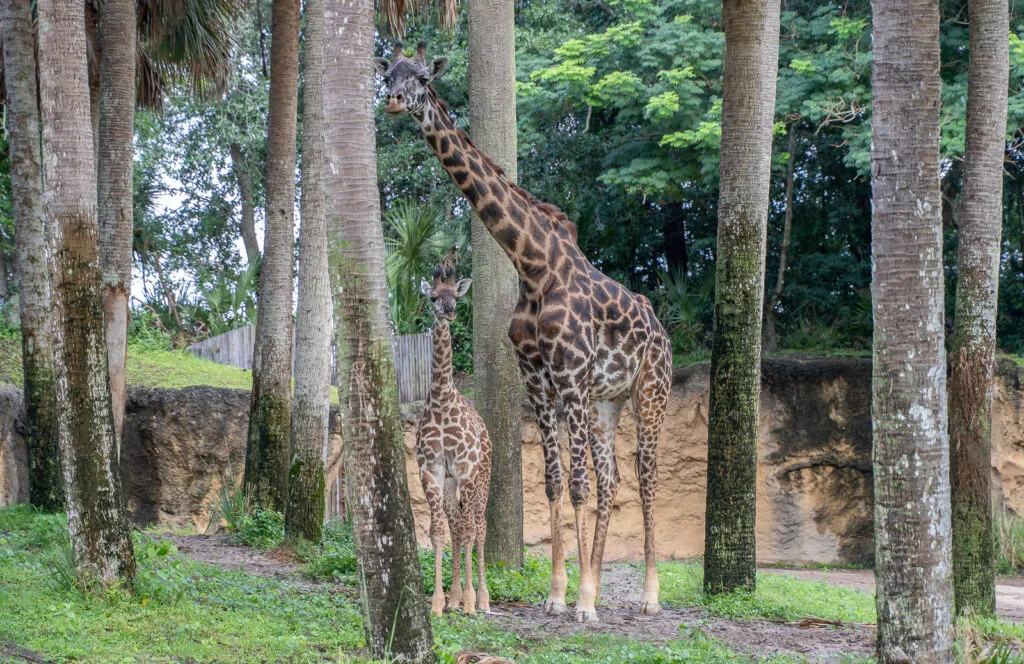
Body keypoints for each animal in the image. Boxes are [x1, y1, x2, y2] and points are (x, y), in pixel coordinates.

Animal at [376, 42, 673, 623]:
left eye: (422, 77)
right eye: (389, 75)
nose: (395, 101)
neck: (533, 264)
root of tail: (664, 333)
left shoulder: (570, 373)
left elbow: (575, 485)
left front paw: (582, 604)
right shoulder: (537, 376)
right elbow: (555, 481)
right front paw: (561, 594)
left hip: (649, 390)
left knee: (646, 477)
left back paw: (649, 596)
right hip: (607, 402)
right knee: (612, 480)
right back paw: (598, 581)